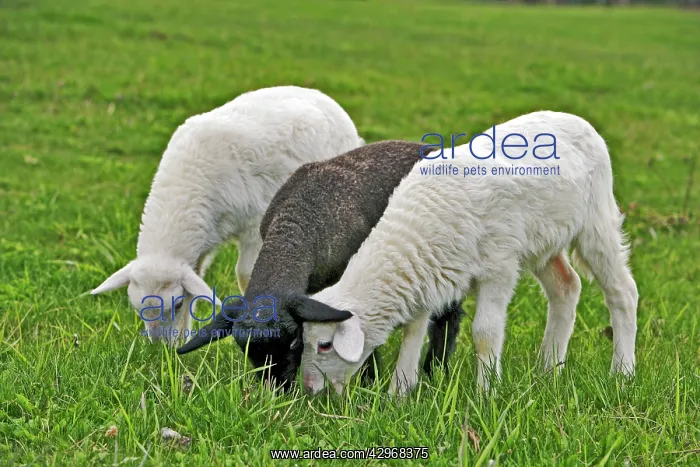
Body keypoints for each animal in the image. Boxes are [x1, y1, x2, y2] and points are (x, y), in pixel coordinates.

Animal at [89, 86, 364, 344]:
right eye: (136, 306)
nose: (161, 347)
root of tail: (322, 96)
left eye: (175, 304)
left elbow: (246, 275)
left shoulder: (255, 225)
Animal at [176, 141, 466, 390]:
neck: (297, 224)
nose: (277, 390)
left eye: (294, 340)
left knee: (448, 316)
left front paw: (368, 380)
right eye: (244, 348)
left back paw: (435, 370)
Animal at [296, 111, 639, 397]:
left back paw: (622, 372)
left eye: (325, 345)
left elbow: (485, 331)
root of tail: (576, 119)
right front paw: (399, 394)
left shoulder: (499, 267)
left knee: (622, 292)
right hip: (541, 240)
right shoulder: (425, 274)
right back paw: (548, 369)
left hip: (595, 221)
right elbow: (412, 331)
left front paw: (486, 393)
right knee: (566, 287)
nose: (310, 390)